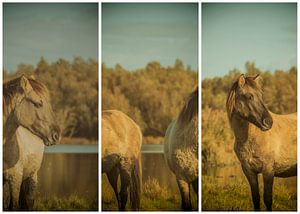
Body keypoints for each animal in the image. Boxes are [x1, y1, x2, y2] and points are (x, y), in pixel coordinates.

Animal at [226, 75, 296, 211]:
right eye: (249, 96)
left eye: (261, 95)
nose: (268, 122)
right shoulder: (249, 171)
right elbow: (256, 198)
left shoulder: (268, 170)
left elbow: (268, 199)